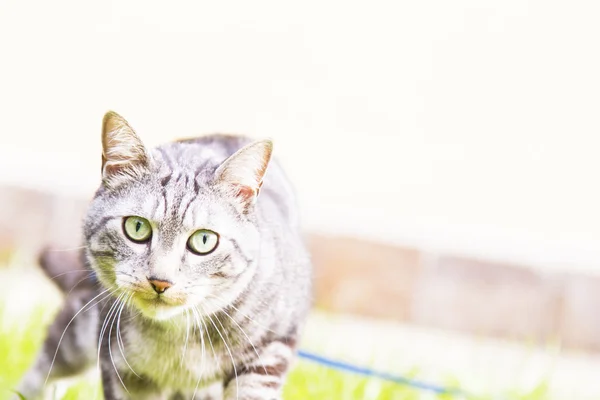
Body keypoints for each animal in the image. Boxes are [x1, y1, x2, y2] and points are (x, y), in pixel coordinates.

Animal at [16, 111, 312, 398]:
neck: (175, 337)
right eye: (137, 227)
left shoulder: (269, 352)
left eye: (204, 240)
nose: (160, 281)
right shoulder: (122, 369)